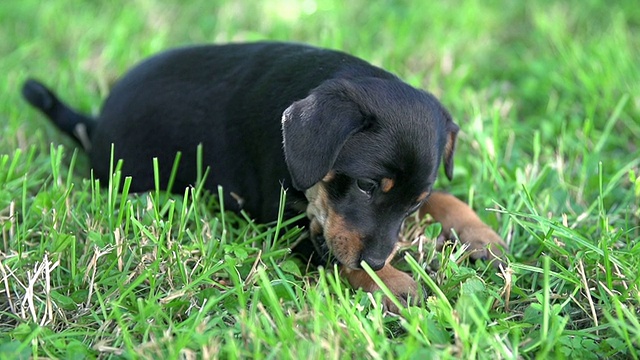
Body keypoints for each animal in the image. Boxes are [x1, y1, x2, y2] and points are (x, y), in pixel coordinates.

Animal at [22, 42, 508, 312]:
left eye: (412, 202)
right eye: (366, 185)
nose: (374, 260)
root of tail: (93, 123)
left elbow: (446, 198)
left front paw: (481, 236)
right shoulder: (286, 225)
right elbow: (333, 255)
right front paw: (392, 283)